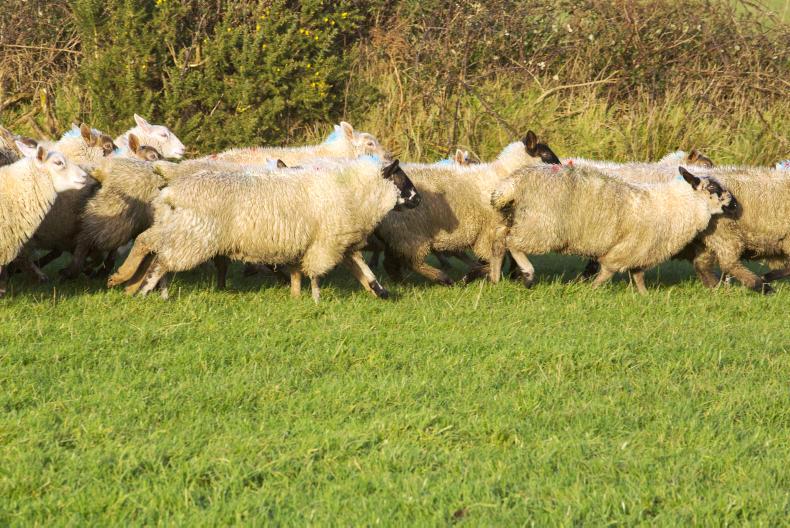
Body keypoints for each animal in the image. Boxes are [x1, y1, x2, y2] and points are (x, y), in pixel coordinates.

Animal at [106, 158, 420, 302]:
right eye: (400, 177)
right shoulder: (325, 243)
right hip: (193, 237)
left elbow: (362, 271)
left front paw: (381, 292)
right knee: (160, 260)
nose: (418, 200)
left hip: (176, 228)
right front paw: (315, 300)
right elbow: (316, 273)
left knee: (148, 243)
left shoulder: (338, 243)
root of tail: (171, 189)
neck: (353, 190)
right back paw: (141, 288)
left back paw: (126, 281)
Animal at [374, 131, 561, 286]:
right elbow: (492, 261)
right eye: (546, 154)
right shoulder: (489, 231)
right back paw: (442, 278)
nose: (563, 169)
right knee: (412, 262)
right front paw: (469, 277)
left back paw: (402, 283)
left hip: (395, 236)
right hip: (409, 233)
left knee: (390, 264)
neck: (502, 178)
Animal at [489, 165, 735, 293]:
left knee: (498, 242)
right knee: (513, 244)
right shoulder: (625, 250)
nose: (735, 205)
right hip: (541, 227)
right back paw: (528, 273)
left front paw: (645, 296)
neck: (679, 206)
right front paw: (591, 290)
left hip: (514, 218)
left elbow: (638, 276)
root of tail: (513, 183)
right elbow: (607, 271)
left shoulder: (639, 252)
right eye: (713, 188)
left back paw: (495, 277)